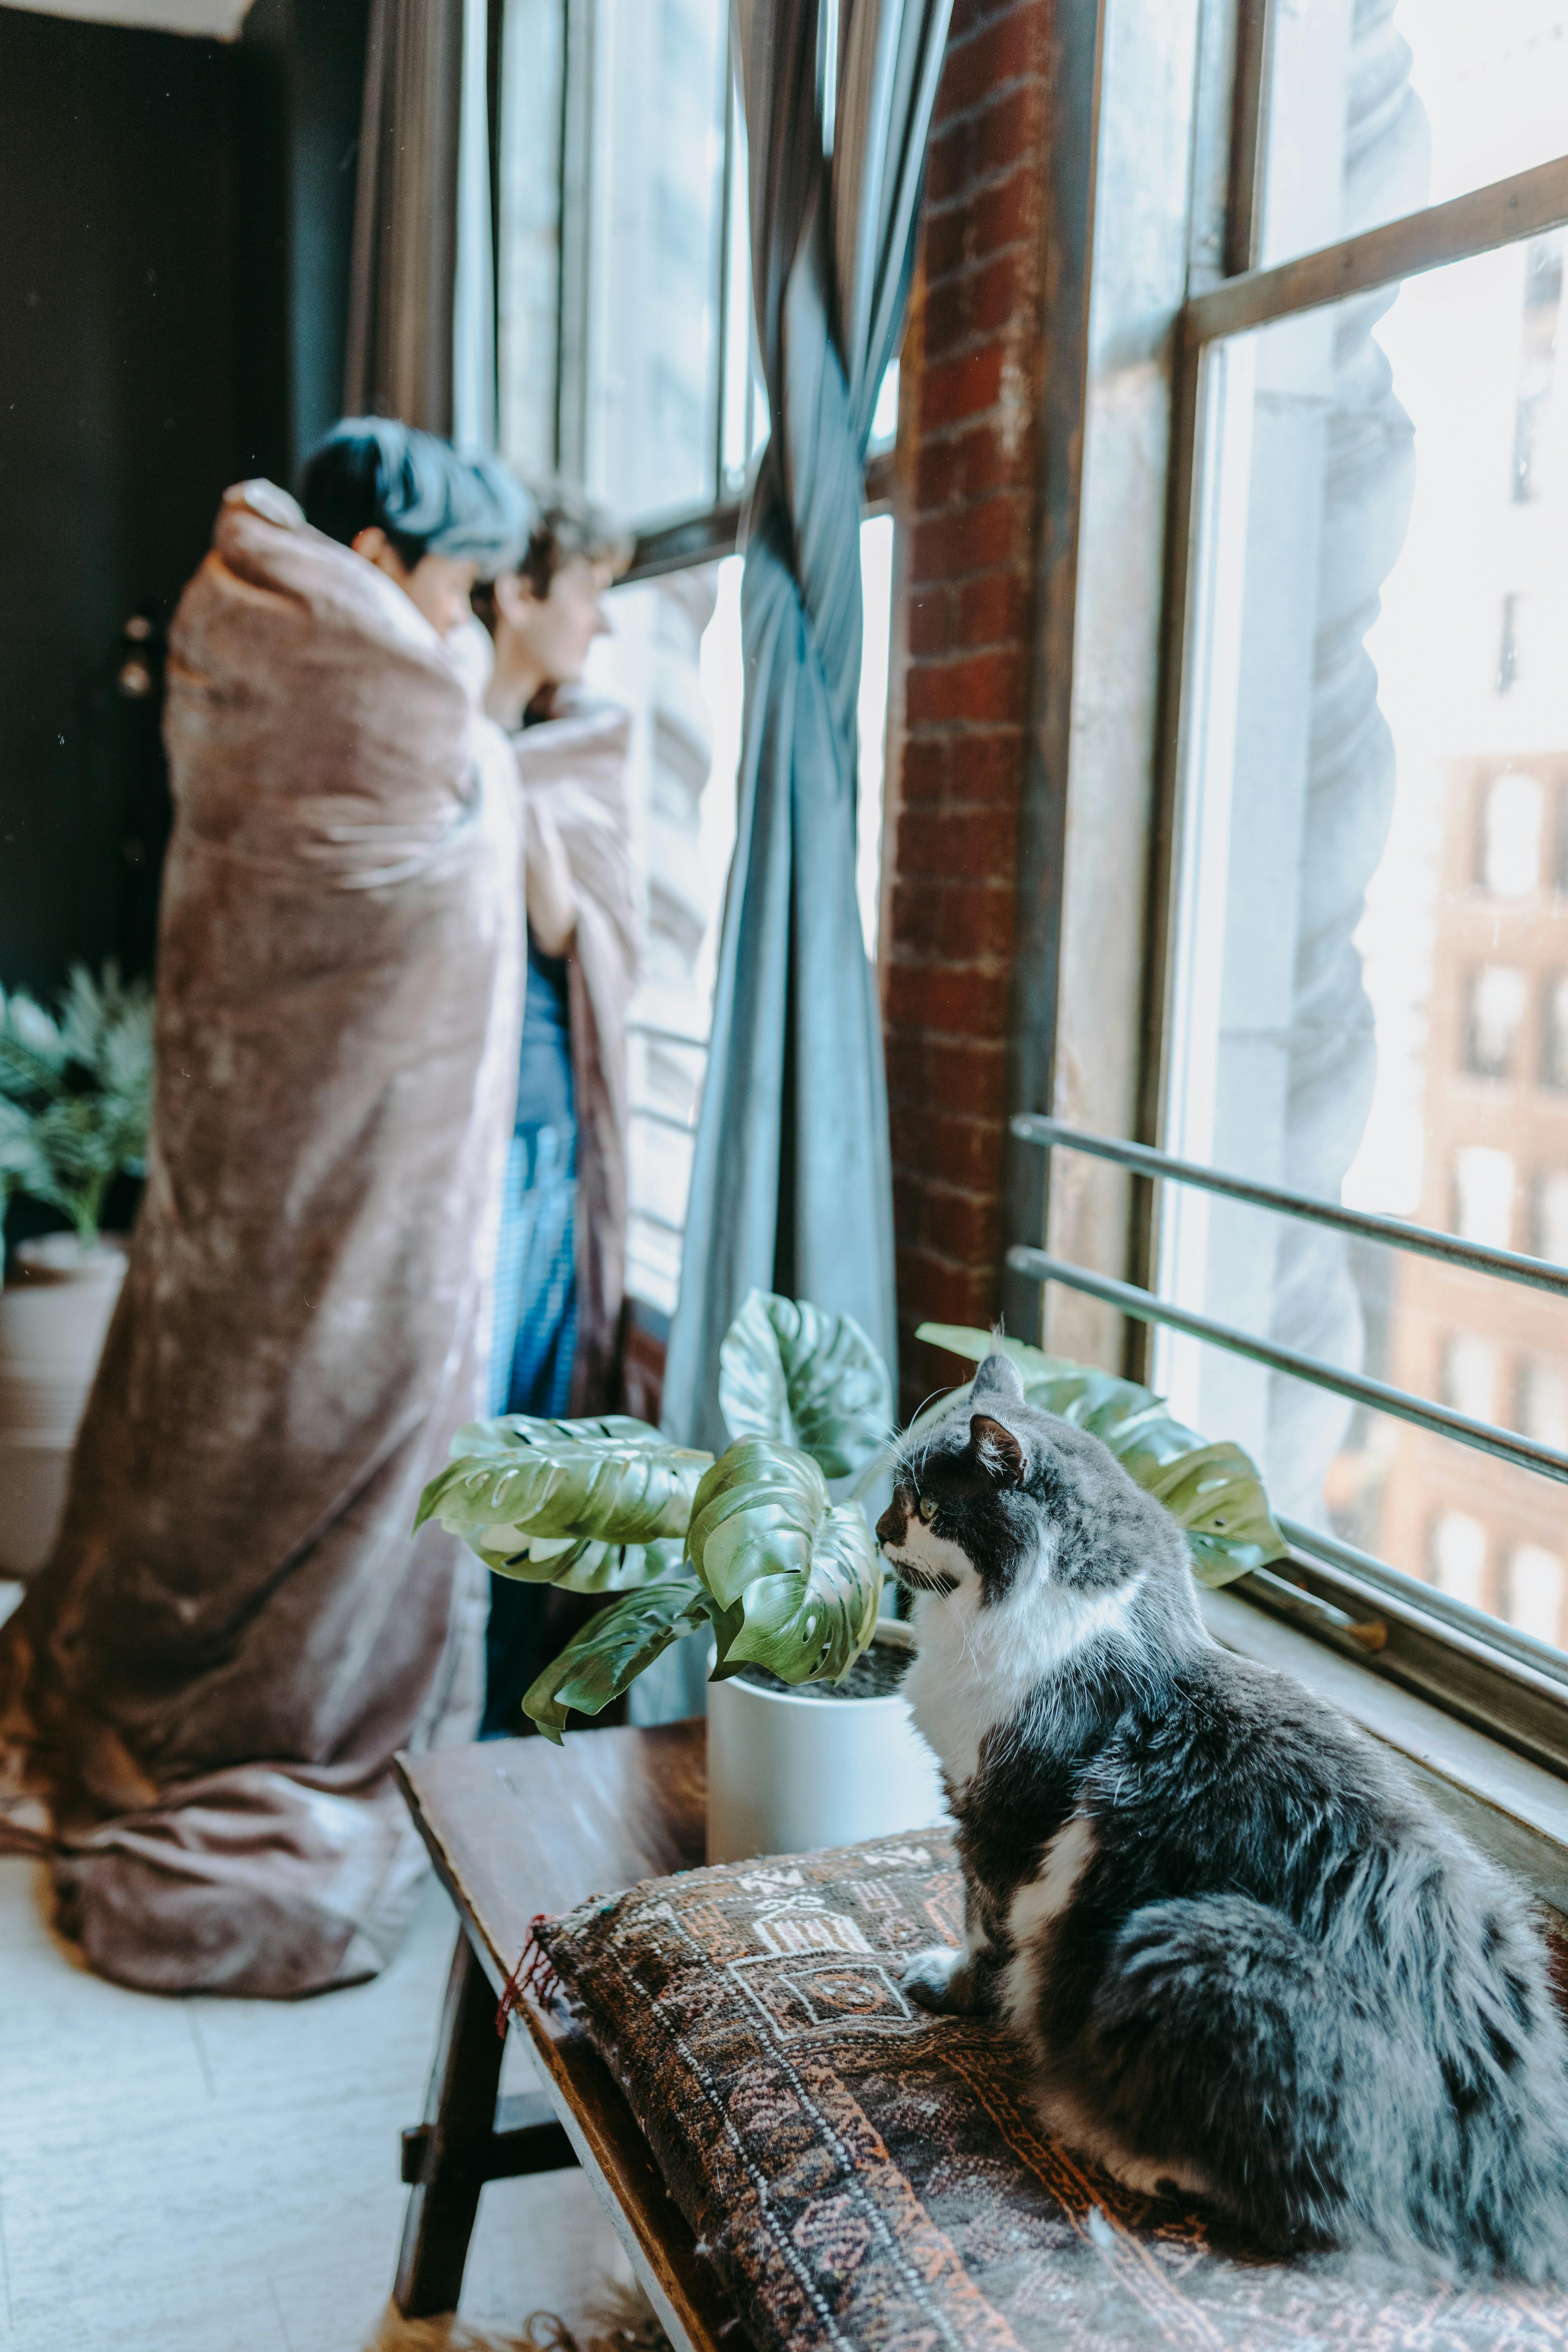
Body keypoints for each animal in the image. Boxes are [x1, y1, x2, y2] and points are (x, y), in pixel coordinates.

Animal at [879, 1355, 1568, 2267]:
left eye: (925, 1509)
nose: (876, 1530)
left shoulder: (1000, 1821)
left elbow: (983, 1933)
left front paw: (948, 1989)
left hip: (1190, 1944)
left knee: (1310, 2212)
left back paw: (1121, 2149)